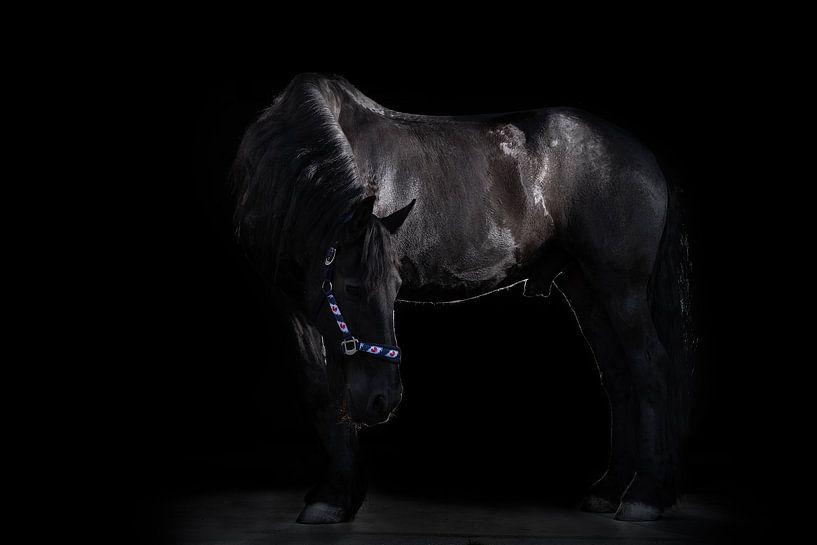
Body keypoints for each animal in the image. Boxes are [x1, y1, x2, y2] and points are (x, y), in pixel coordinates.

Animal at [231, 73, 694, 524]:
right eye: (352, 288)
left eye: (393, 289)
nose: (385, 399)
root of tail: (644, 156)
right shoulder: (292, 299)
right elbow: (321, 389)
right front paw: (335, 496)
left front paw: (338, 496)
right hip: (586, 287)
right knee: (618, 376)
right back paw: (608, 490)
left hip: (621, 286)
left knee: (649, 367)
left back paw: (645, 495)